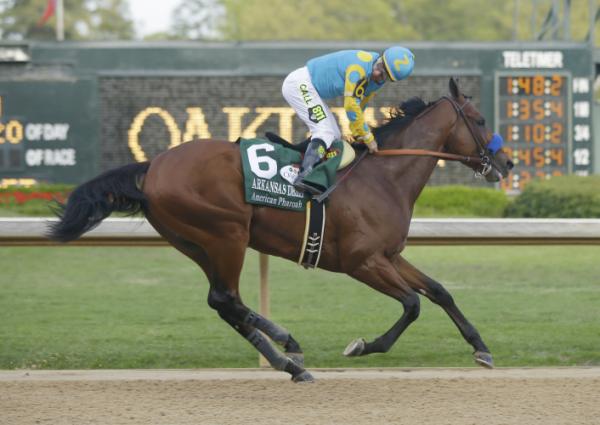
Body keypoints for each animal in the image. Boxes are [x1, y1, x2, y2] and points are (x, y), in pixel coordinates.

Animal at [49, 78, 512, 382]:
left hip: (197, 243)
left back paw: (287, 363)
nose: (506, 162)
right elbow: (412, 304)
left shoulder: (389, 255)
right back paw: (289, 345)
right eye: (479, 119)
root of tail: (152, 165)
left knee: (225, 302)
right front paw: (362, 346)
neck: (384, 177)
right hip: (227, 234)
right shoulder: (362, 262)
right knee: (225, 298)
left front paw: (482, 348)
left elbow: (438, 291)